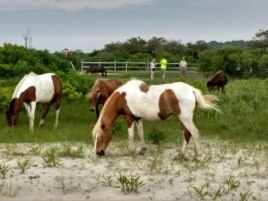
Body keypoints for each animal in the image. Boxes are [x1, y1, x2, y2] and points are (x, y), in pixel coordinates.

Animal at [92, 78, 220, 159]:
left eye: (101, 136)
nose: (99, 152)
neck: (122, 96)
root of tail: (192, 90)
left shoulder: (129, 117)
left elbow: (131, 135)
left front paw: (128, 151)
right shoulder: (138, 118)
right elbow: (141, 133)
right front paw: (142, 150)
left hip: (185, 118)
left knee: (195, 133)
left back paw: (197, 155)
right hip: (183, 119)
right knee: (187, 134)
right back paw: (180, 155)